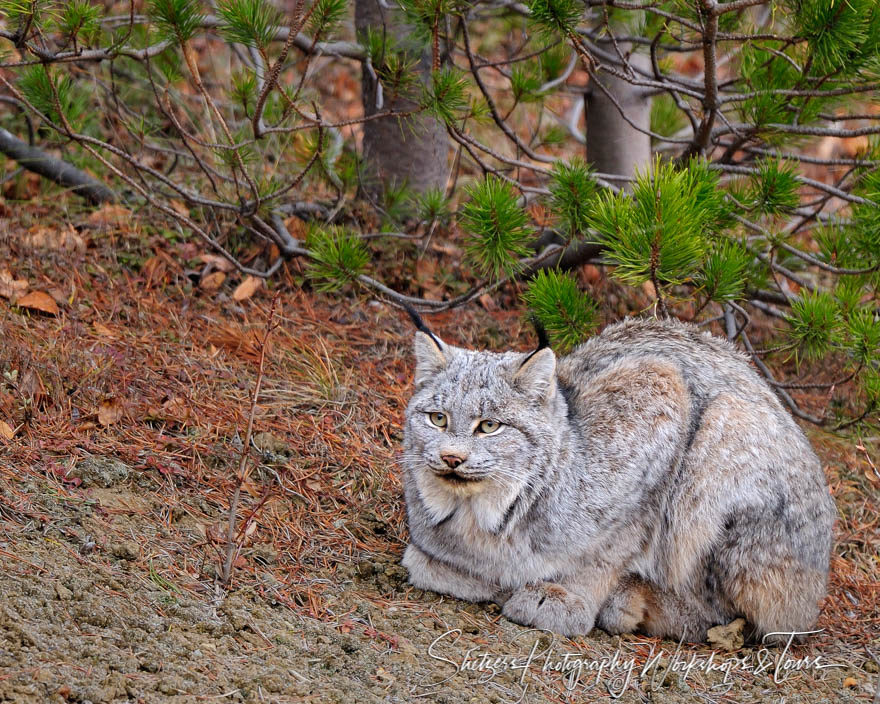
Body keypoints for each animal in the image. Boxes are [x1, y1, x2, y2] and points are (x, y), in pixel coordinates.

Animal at [402, 314, 836, 644]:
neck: (492, 509)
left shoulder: (661, 387)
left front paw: (569, 594)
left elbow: (616, 540)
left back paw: (635, 601)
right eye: (437, 419)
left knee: (743, 617)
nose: (452, 458)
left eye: (489, 426)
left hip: (725, 429)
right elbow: (421, 563)